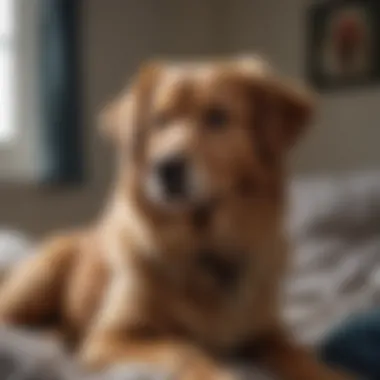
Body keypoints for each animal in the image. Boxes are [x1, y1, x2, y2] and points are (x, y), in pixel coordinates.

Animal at [0, 55, 354, 378]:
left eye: (217, 117)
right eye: (159, 121)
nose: (166, 168)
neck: (203, 243)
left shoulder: (267, 331)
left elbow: (300, 355)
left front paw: (332, 373)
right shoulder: (109, 338)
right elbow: (183, 348)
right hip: (40, 277)